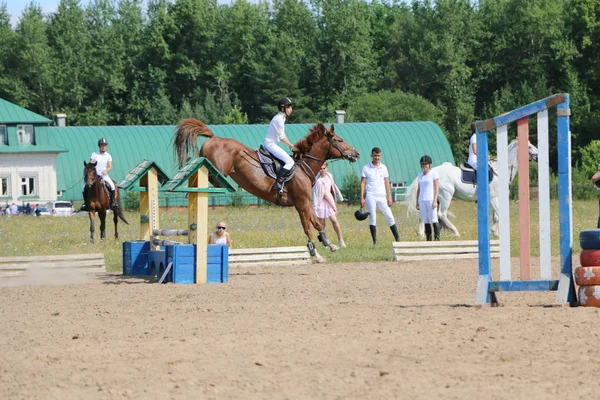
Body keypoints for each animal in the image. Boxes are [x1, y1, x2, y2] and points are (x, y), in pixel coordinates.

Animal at [173, 119, 360, 262]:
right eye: (340, 140)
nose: (356, 154)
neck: (303, 168)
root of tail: (214, 137)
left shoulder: (304, 203)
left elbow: (317, 223)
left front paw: (330, 244)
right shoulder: (301, 204)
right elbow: (308, 227)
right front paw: (315, 253)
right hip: (216, 169)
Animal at [408, 139, 540, 238]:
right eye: (529, 147)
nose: (538, 156)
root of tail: (431, 171)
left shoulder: (495, 198)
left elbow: (496, 216)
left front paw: (496, 233)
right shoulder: (493, 198)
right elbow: (498, 214)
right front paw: (493, 230)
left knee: (426, 213)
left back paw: (422, 234)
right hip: (446, 195)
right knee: (442, 214)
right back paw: (455, 232)